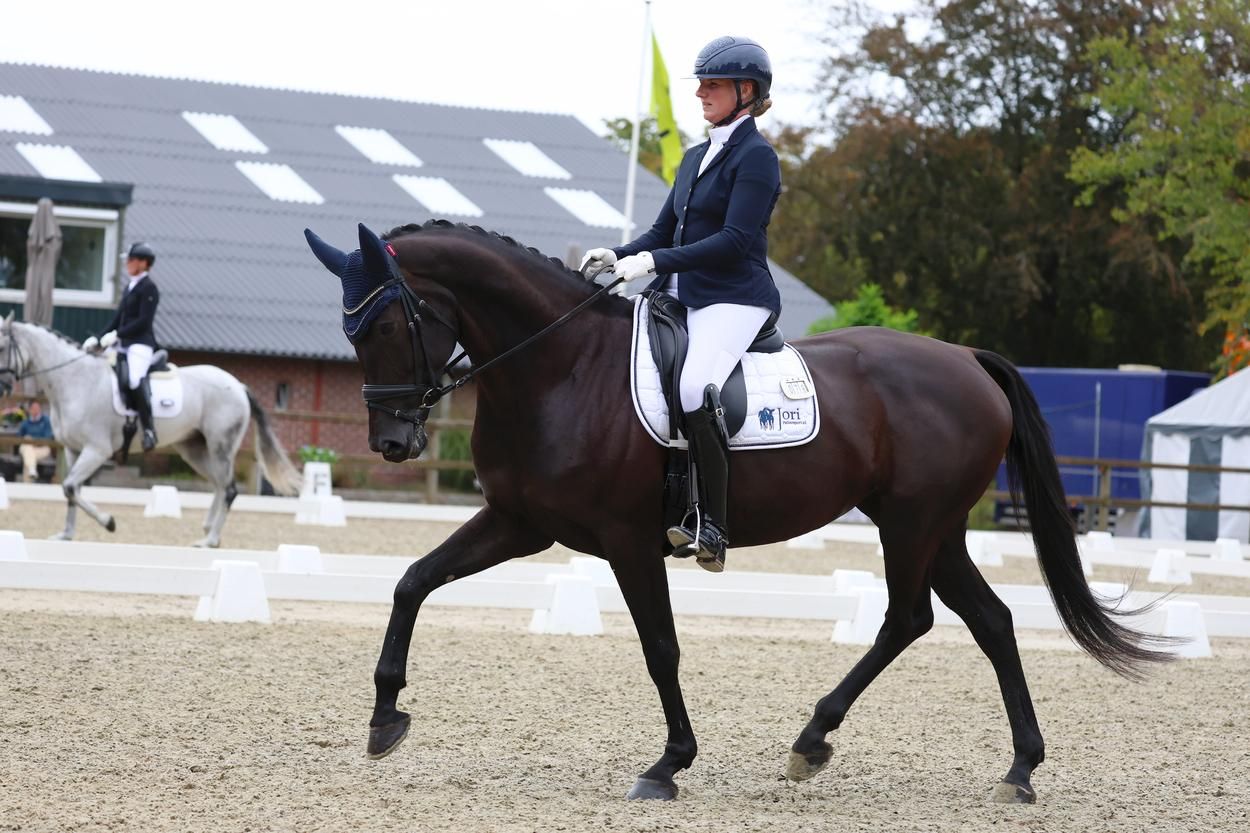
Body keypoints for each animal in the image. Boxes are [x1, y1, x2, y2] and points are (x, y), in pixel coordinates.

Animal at [0, 315, 302, 546]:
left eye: (2, 347)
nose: (3, 389)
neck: (75, 380)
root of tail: (238, 385)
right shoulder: (73, 450)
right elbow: (71, 491)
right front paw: (66, 535)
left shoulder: (97, 450)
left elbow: (71, 487)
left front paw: (108, 522)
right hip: (194, 449)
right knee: (219, 484)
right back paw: (206, 530)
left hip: (221, 446)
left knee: (228, 489)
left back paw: (211, 540)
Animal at [303, 220, 1172, 804]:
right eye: (349, 328)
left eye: (388, 322)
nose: (392, 441)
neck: (560, 367)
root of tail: (966, 358)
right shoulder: (520, 522)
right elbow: (412, 580)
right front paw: (384, 717)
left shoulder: (627, 539)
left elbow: (660, 647)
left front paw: (668, 764)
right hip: (936, 526)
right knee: (987, 620)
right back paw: (1017, 767)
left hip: (912, 521)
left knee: (908, 617)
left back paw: (813, 740)